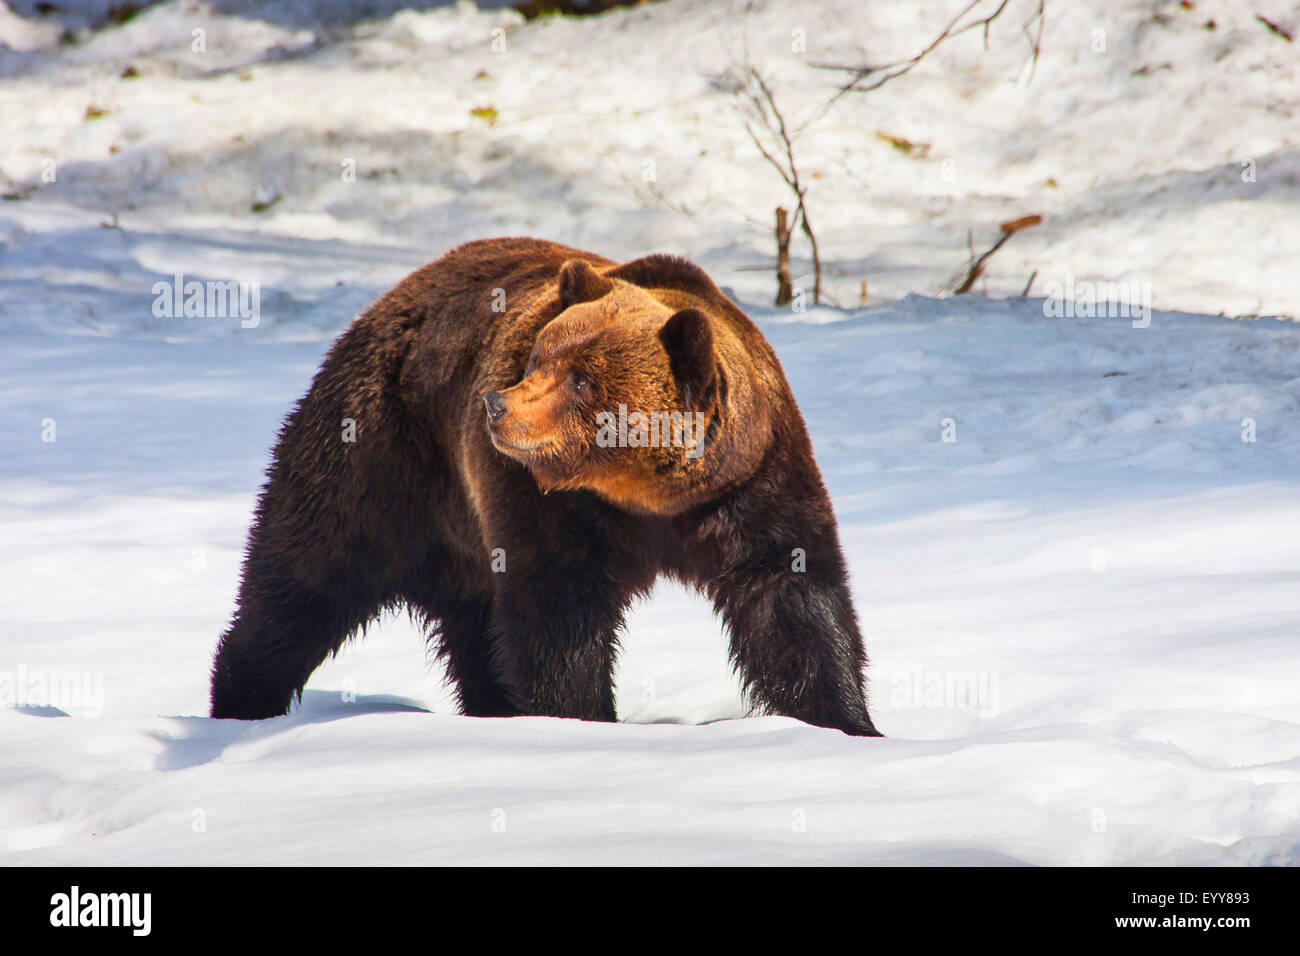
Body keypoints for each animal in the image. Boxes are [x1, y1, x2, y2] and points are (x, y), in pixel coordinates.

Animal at [213, 239, 883, 738]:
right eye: (539, 356)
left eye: (582, 379)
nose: (496, 406)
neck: (646, 496)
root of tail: (389, 298)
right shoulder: (548, 501)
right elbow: (559, 609)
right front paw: (580, 718)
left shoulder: (749, 483)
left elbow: (793, 597)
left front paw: (847, 723)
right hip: (382, 449)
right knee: (307, 572)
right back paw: (241, 700)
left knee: (472, 624)